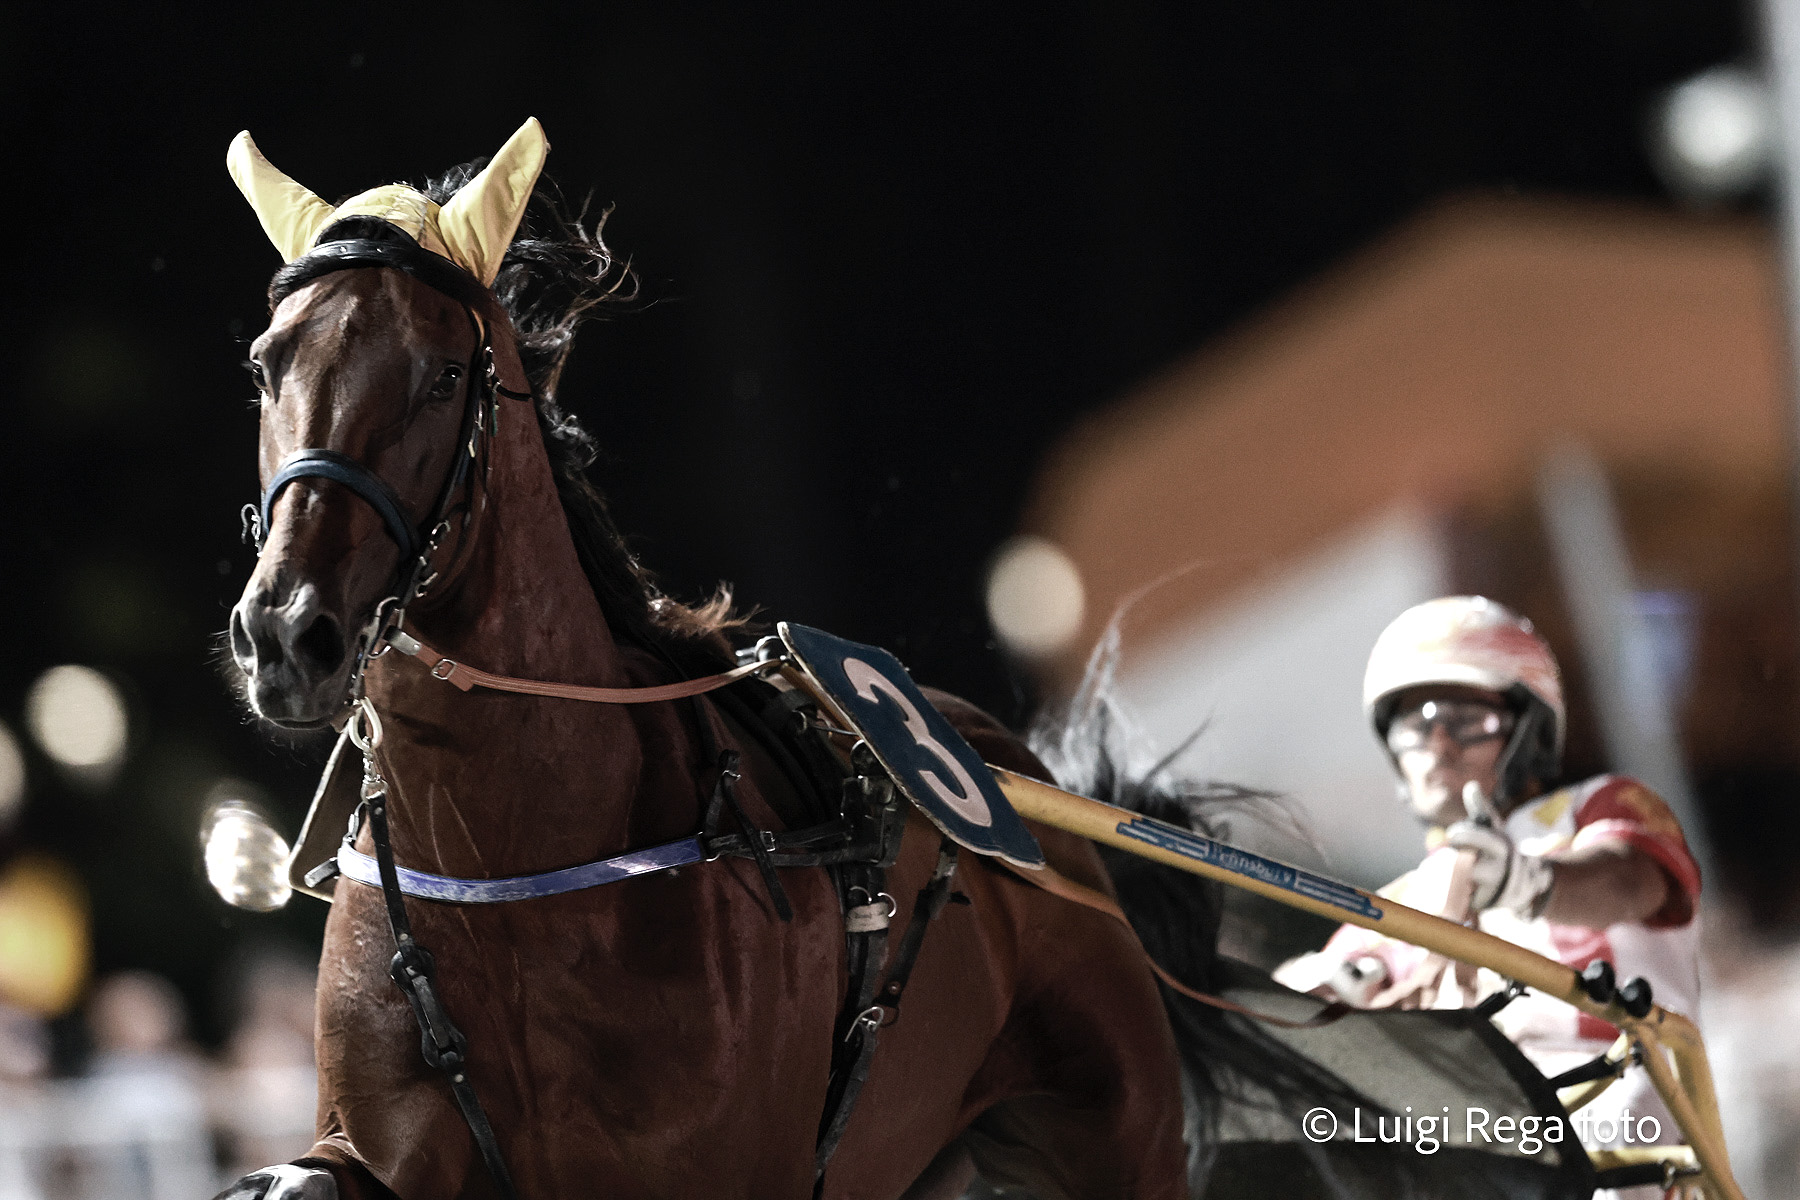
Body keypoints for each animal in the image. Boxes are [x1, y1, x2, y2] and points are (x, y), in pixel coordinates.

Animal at [214, 119, 1296, 1200]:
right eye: (266, 368)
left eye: (442, 375)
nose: (289, 635)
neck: (509, 868)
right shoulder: (389, 1136)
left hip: (1120, 1134)